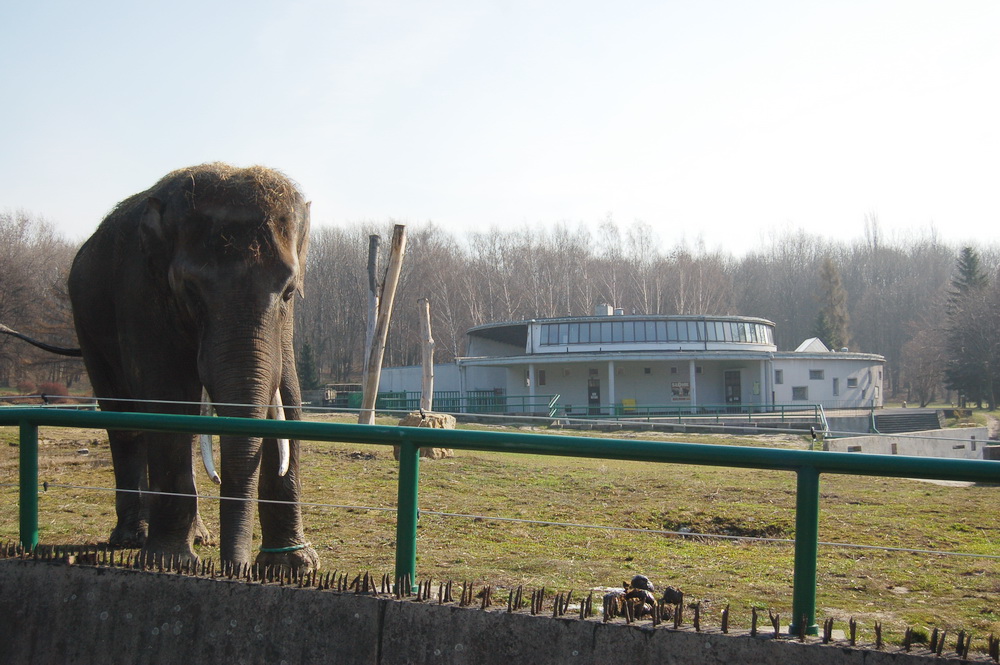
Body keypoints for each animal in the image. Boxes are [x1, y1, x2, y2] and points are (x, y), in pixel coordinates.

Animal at [67, 162, 318, 573]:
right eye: (191, 291)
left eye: (288, 291)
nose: (236, 569)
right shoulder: (140, 293)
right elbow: (167, 398)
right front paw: (170, 562)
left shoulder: (286, 322)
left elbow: (290, 393)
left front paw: (294, 564)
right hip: (87, 328)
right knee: (126, 425)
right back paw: (133, 537)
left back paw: (198, 536)